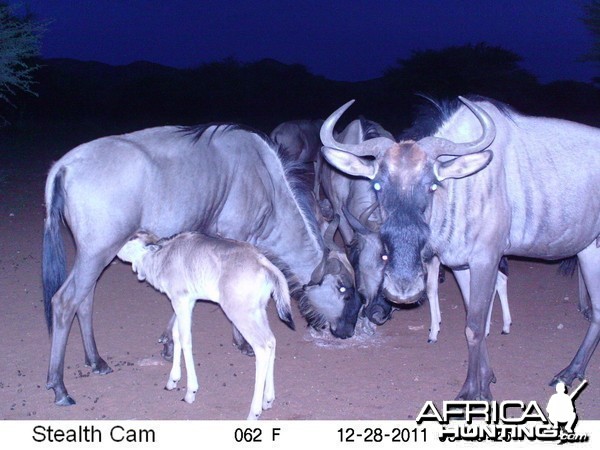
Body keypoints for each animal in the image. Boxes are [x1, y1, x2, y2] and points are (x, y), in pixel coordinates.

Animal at [116, 230, 294, 420]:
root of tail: (264, 264)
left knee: (262, 347)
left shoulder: (180, 299)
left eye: (132, 238)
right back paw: (268, 399)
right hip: (258, 311)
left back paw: (254, 412)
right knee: (271, 341)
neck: (163, 256)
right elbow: (176, 335)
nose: (115, 248)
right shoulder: (187, 301)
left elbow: (185, 339)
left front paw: (190, 392)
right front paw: (173, 380)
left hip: (240, 313)